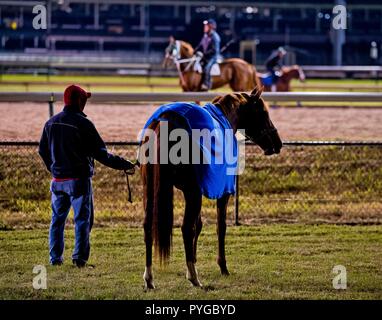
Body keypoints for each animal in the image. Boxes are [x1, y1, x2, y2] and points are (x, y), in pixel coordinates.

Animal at [139, 88, 282, 290]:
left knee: (148, 226)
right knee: (185, 228)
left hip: (151, 189)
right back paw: (194, 277)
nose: (278, 143)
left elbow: (198, 224)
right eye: (263, 112)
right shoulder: (221, 192)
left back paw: (149, 278)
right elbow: (220, 227)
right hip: (191, 192)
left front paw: (194, 259)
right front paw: (222, 266)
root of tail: (167, 120)